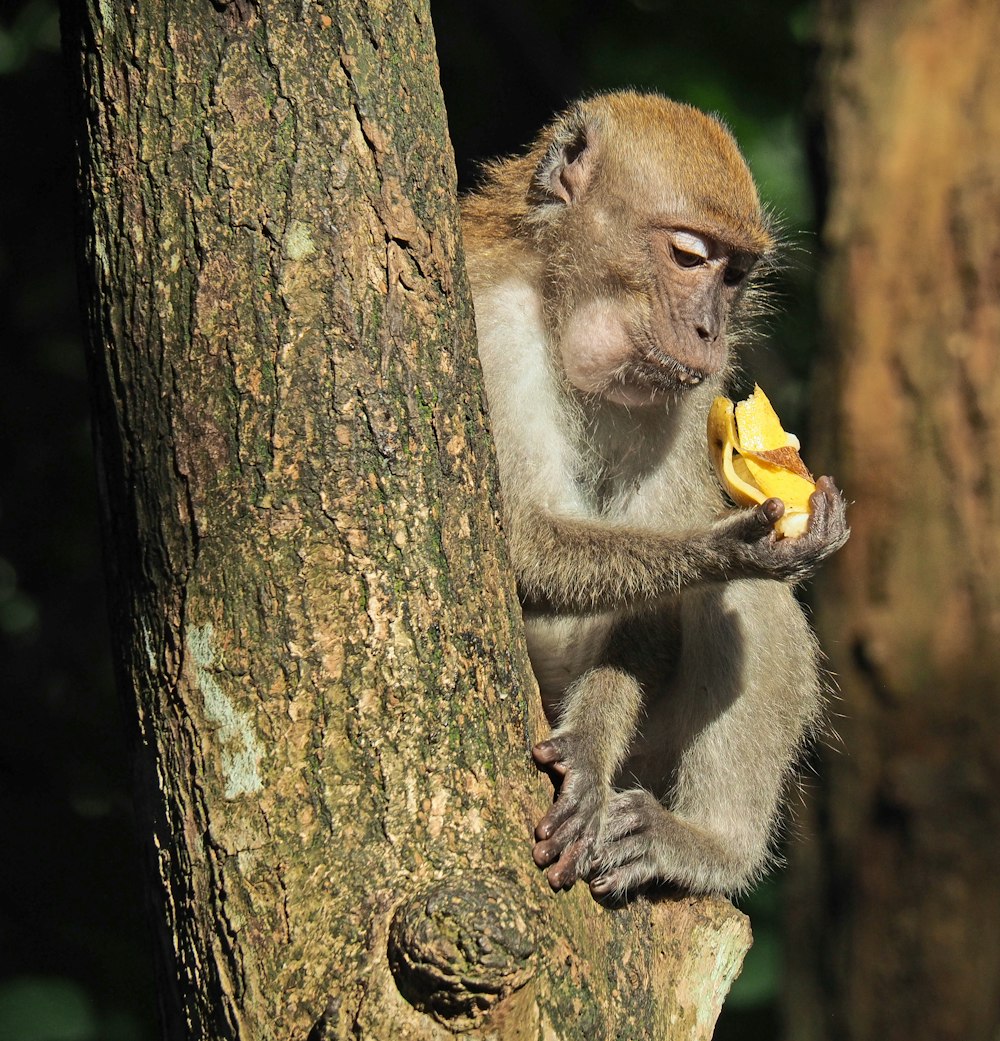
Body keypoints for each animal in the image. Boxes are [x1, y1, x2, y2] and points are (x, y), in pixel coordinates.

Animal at [459, 93, 849, 899]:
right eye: (689, 257)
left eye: (735, 277)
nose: (707, 330)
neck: (561, 309)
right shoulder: (490, 324)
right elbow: (519, 540)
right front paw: (727, 545)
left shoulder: (688, 391)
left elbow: (659, 611)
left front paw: (587, 749)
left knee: (738, 609)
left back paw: (706, 844)